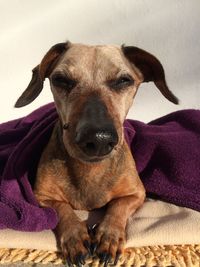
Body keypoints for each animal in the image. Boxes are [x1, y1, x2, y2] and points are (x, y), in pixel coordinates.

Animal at [15, 40, 178, 266]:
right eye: (61, 80)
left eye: (124, 80)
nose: (98, 138)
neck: (90, 169)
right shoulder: (41, 197)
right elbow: (62, 209)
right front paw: (75, 236)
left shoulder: (137, 194)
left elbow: (118, 206)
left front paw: (109, 236)